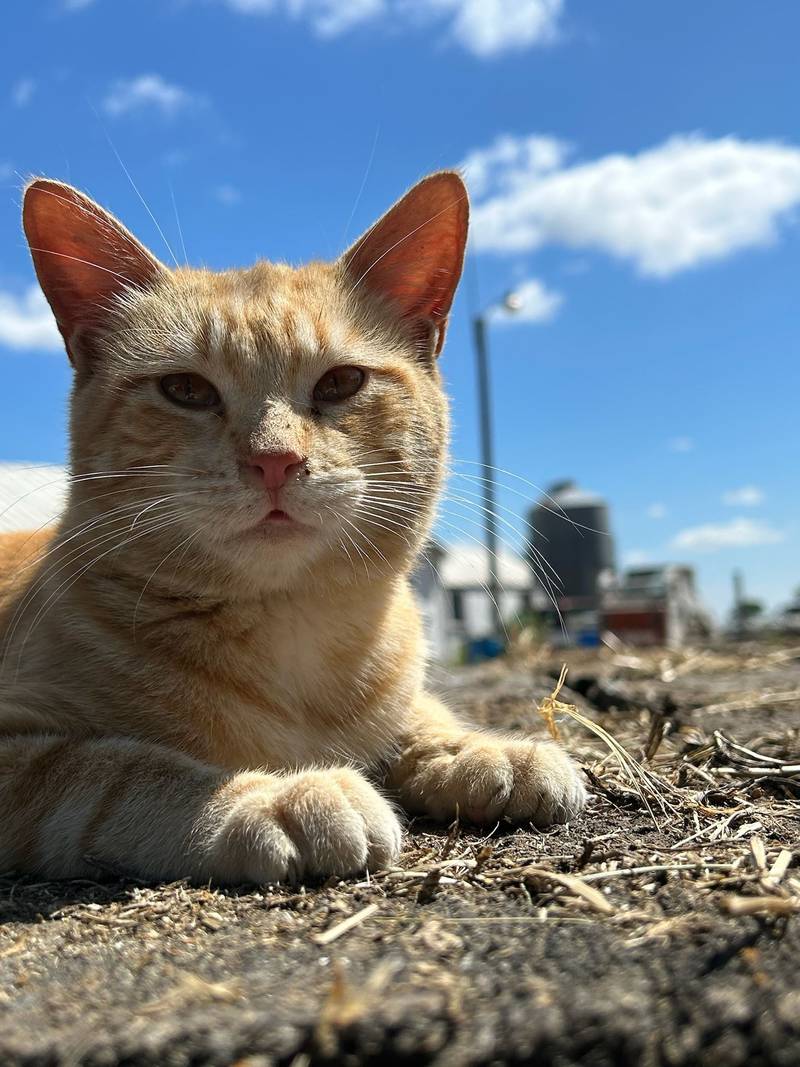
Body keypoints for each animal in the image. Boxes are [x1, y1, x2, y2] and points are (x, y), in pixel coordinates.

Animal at [1, 174, 588, 883]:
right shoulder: (23, 752)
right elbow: (121, 769)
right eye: (185, 390)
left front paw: (480, 750)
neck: (294, 630)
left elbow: (421, 715)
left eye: (341, 382)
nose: (274, 460)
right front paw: (278, 798)